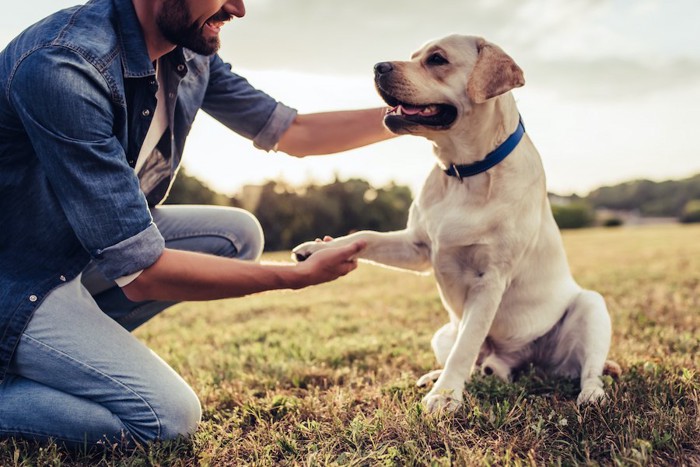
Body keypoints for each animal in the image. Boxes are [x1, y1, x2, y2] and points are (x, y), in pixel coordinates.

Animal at [292, 33, 616, 414]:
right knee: (478, 363)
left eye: (437, 59)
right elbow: (366, 235)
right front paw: (318, 249)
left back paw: (591, 395)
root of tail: (519, 361)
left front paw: (445, 397)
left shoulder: (490, 279)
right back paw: (445, 374)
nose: (377, 66)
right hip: (443, 332)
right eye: (414, 55)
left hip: (591, 307)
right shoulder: (418, 246)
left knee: (588, 370)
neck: (464, 173)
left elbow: (466, 346)